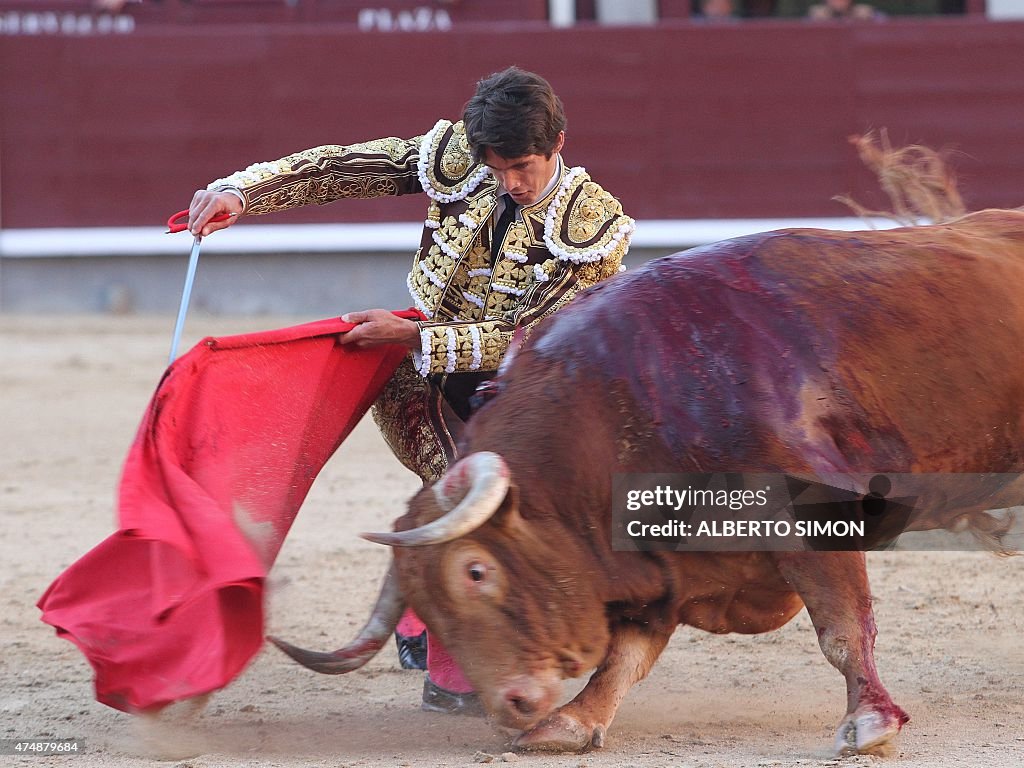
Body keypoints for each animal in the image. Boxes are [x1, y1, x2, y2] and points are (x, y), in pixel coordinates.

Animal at [272, 208, 1024, 757]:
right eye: (425, 607)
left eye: (477, 572)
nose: (510, 704)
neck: (625, 400)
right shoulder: (660, 560)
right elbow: (626, 653)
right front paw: (570, 723)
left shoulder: (811, 514)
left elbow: (841, 626)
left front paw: (869, 725)